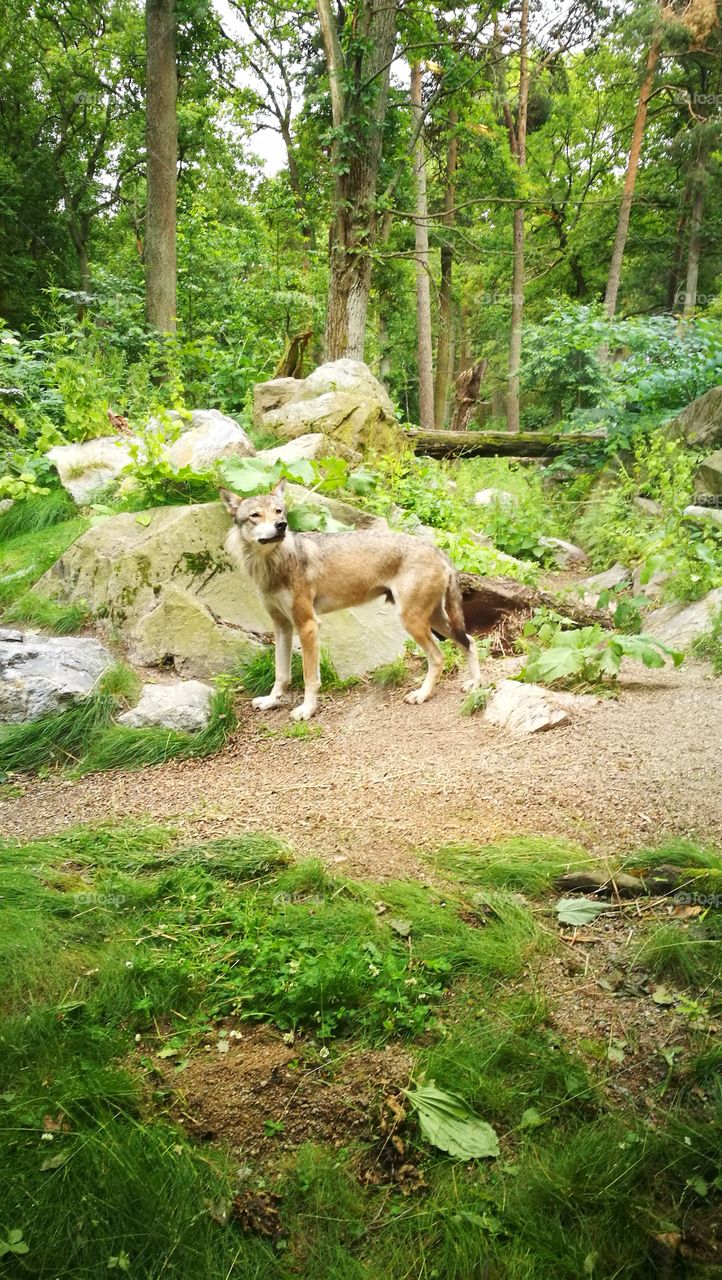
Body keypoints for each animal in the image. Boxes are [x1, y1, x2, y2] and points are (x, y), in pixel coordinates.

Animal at [220, 482, 482, 721]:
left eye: (278, 512)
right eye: (255, 515)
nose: (281, 526)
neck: (273, 563)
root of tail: (436, 548)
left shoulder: (308, 626)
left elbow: (309, 677)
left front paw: (307, 710)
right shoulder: (282, 626)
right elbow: (281, 673)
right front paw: (271, 701)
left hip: (413, 622)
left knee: (439, 657)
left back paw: (422, 694)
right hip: (434, 620)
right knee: (468, 641)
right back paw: (475, 685)